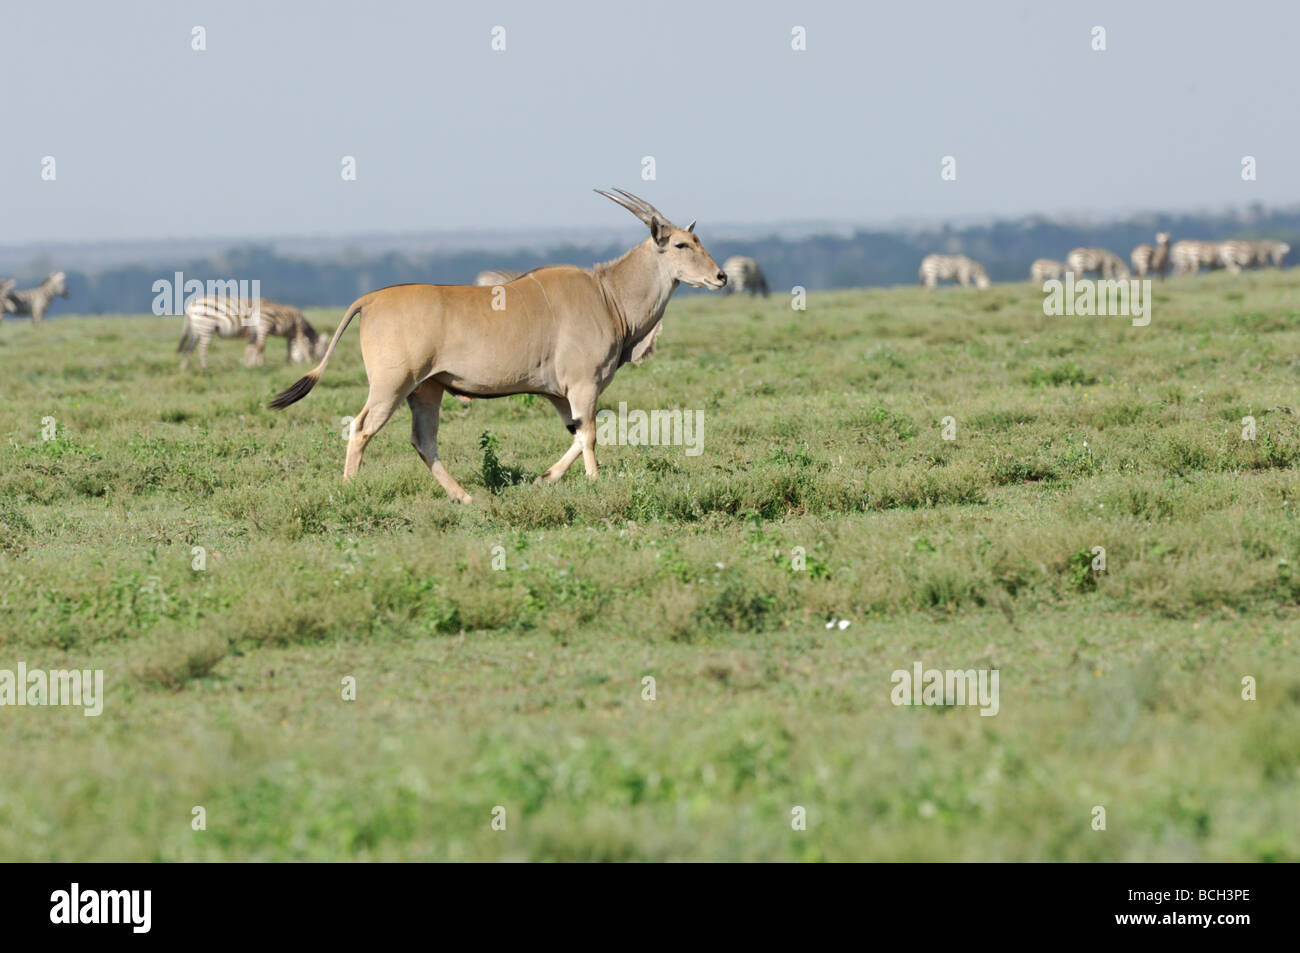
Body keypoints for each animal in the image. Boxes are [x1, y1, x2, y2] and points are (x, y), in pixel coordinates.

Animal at [176, 293, 327, 371]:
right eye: (323, 348)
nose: (321, 361)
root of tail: (190, 306)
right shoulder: (295, 329)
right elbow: (299, 345)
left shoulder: (256, 333)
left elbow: (253, 347)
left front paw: (252, 364)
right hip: (206, 326)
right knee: (202, 349)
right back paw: (205, 367)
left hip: (197, 329)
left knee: (189, 349)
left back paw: (183, 369)